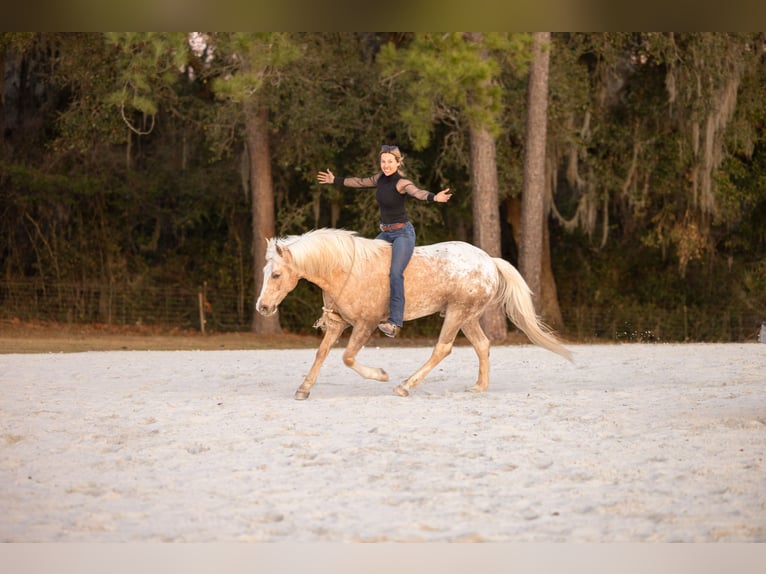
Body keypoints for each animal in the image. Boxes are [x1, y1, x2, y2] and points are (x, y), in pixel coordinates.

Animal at [256, 228, 572, 399]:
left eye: (276, 274)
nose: (263, 307)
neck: (346, 268)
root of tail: (489, 262)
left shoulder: (365, 324)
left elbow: (348, 358)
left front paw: (381, 375)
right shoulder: (338, 323)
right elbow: (321, 354)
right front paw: (303, 389)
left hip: (457, 313)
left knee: (442, 348)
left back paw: (405, 385)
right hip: (467, 317)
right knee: (482, 345)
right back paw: (479, 387)